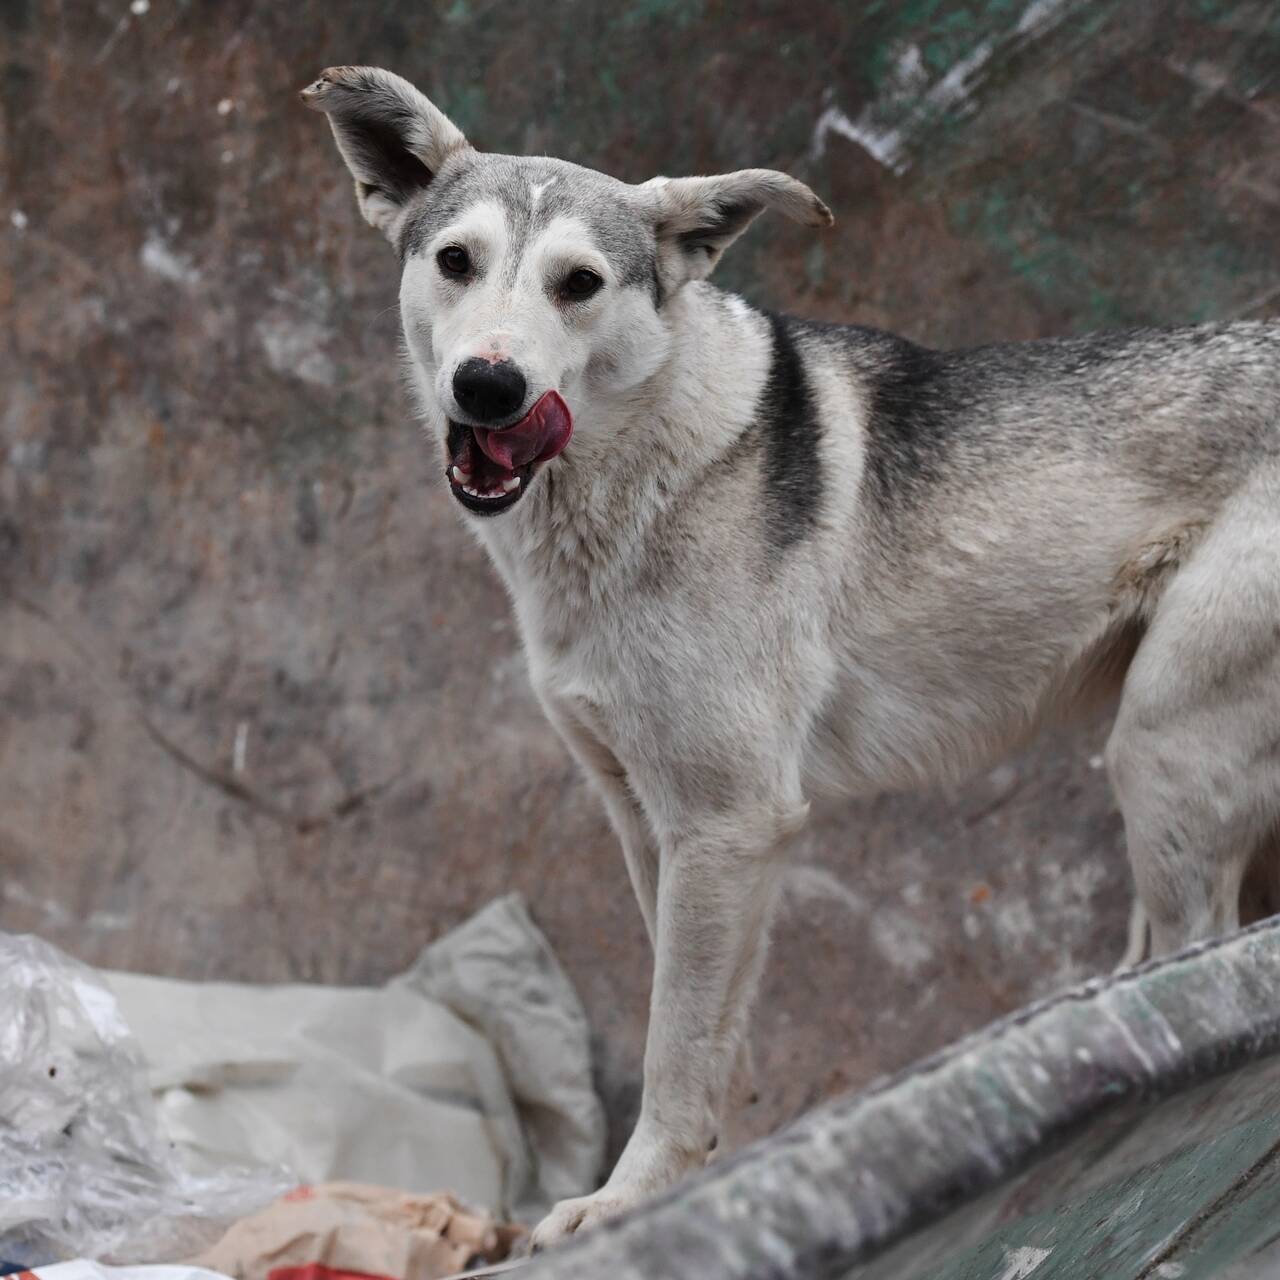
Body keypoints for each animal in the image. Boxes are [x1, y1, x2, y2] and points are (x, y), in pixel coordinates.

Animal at [304, 67, 1280, 1249]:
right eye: (455, 261)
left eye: (579, 284)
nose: (488, 386)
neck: (640, 474)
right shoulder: (650, 820)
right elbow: (703, 1027)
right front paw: (704, 1182)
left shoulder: (728, 823)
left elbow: (674, 1042)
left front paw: (629, 1202)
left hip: (1165, 749)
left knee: (1199, 947)